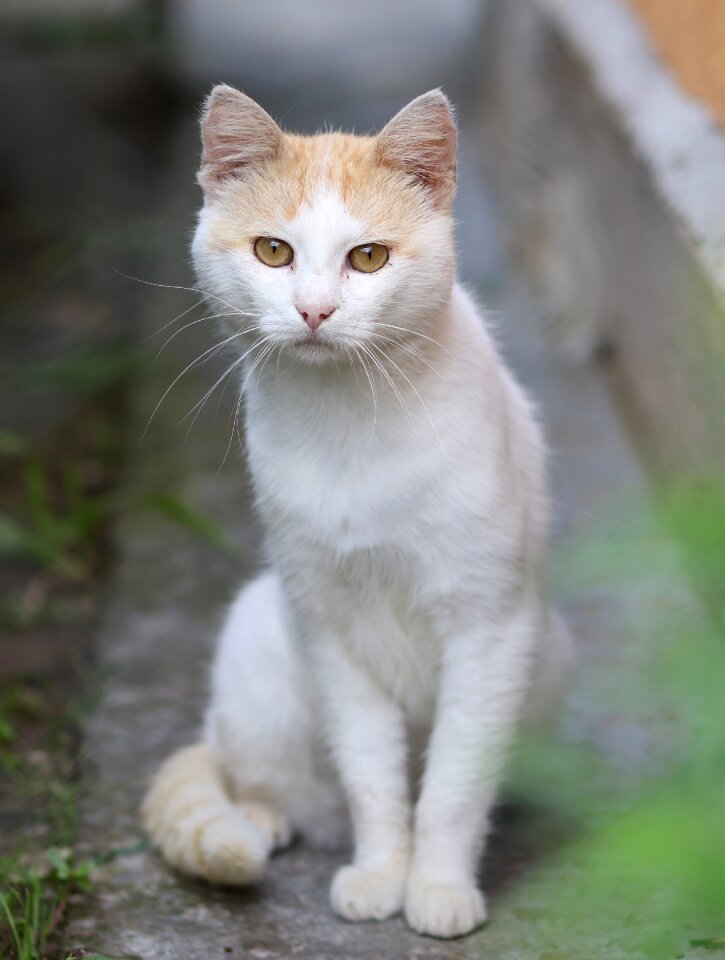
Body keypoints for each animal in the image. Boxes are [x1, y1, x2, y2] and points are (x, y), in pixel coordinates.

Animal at [141, 82, 568, 936]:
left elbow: (452, 786)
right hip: (258, 641)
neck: (349, 424)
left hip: (550, 652)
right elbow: (373, 778)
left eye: (367, 257)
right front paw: (380, 874)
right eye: (273, 252)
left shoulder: (490, 630)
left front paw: (436, 887)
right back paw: (260, 820)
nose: (313, 311)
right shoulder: (330, 630)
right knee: (252, 773)